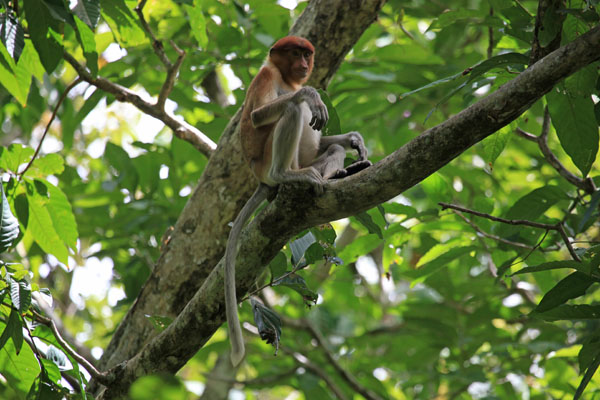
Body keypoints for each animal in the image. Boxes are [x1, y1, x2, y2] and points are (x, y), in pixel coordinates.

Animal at [225, 35, 370, 366]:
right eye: (294, 53)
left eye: (307, 54)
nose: (304, 65)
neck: (286, 78)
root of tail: (260, 177)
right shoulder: (266, 76)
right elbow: (258, 115)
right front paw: (311, 93)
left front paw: (355, 140)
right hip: (268, 161)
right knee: (291, 109)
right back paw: (288, 175)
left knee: (331, 150)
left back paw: (339, 173)